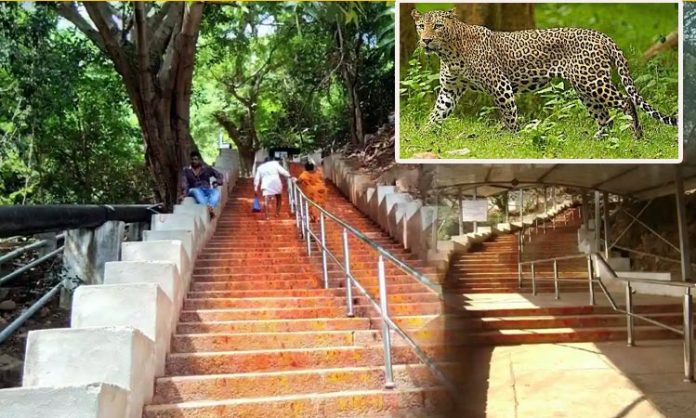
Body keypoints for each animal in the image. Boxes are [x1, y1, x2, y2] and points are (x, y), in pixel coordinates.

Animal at [410, 9, 676, 140]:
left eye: (438, 26)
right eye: (421, 26)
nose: (426, 40)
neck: (448, 52)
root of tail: (602, 35)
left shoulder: (500, 85)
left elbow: (509, 114)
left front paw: (511, 138)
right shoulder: (450, 89)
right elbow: (437, 113)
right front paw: (422, 134)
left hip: (593, 80)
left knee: (626, 101)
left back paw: (635, 135)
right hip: (584, 87)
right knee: (604, 116)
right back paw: (600, 139)